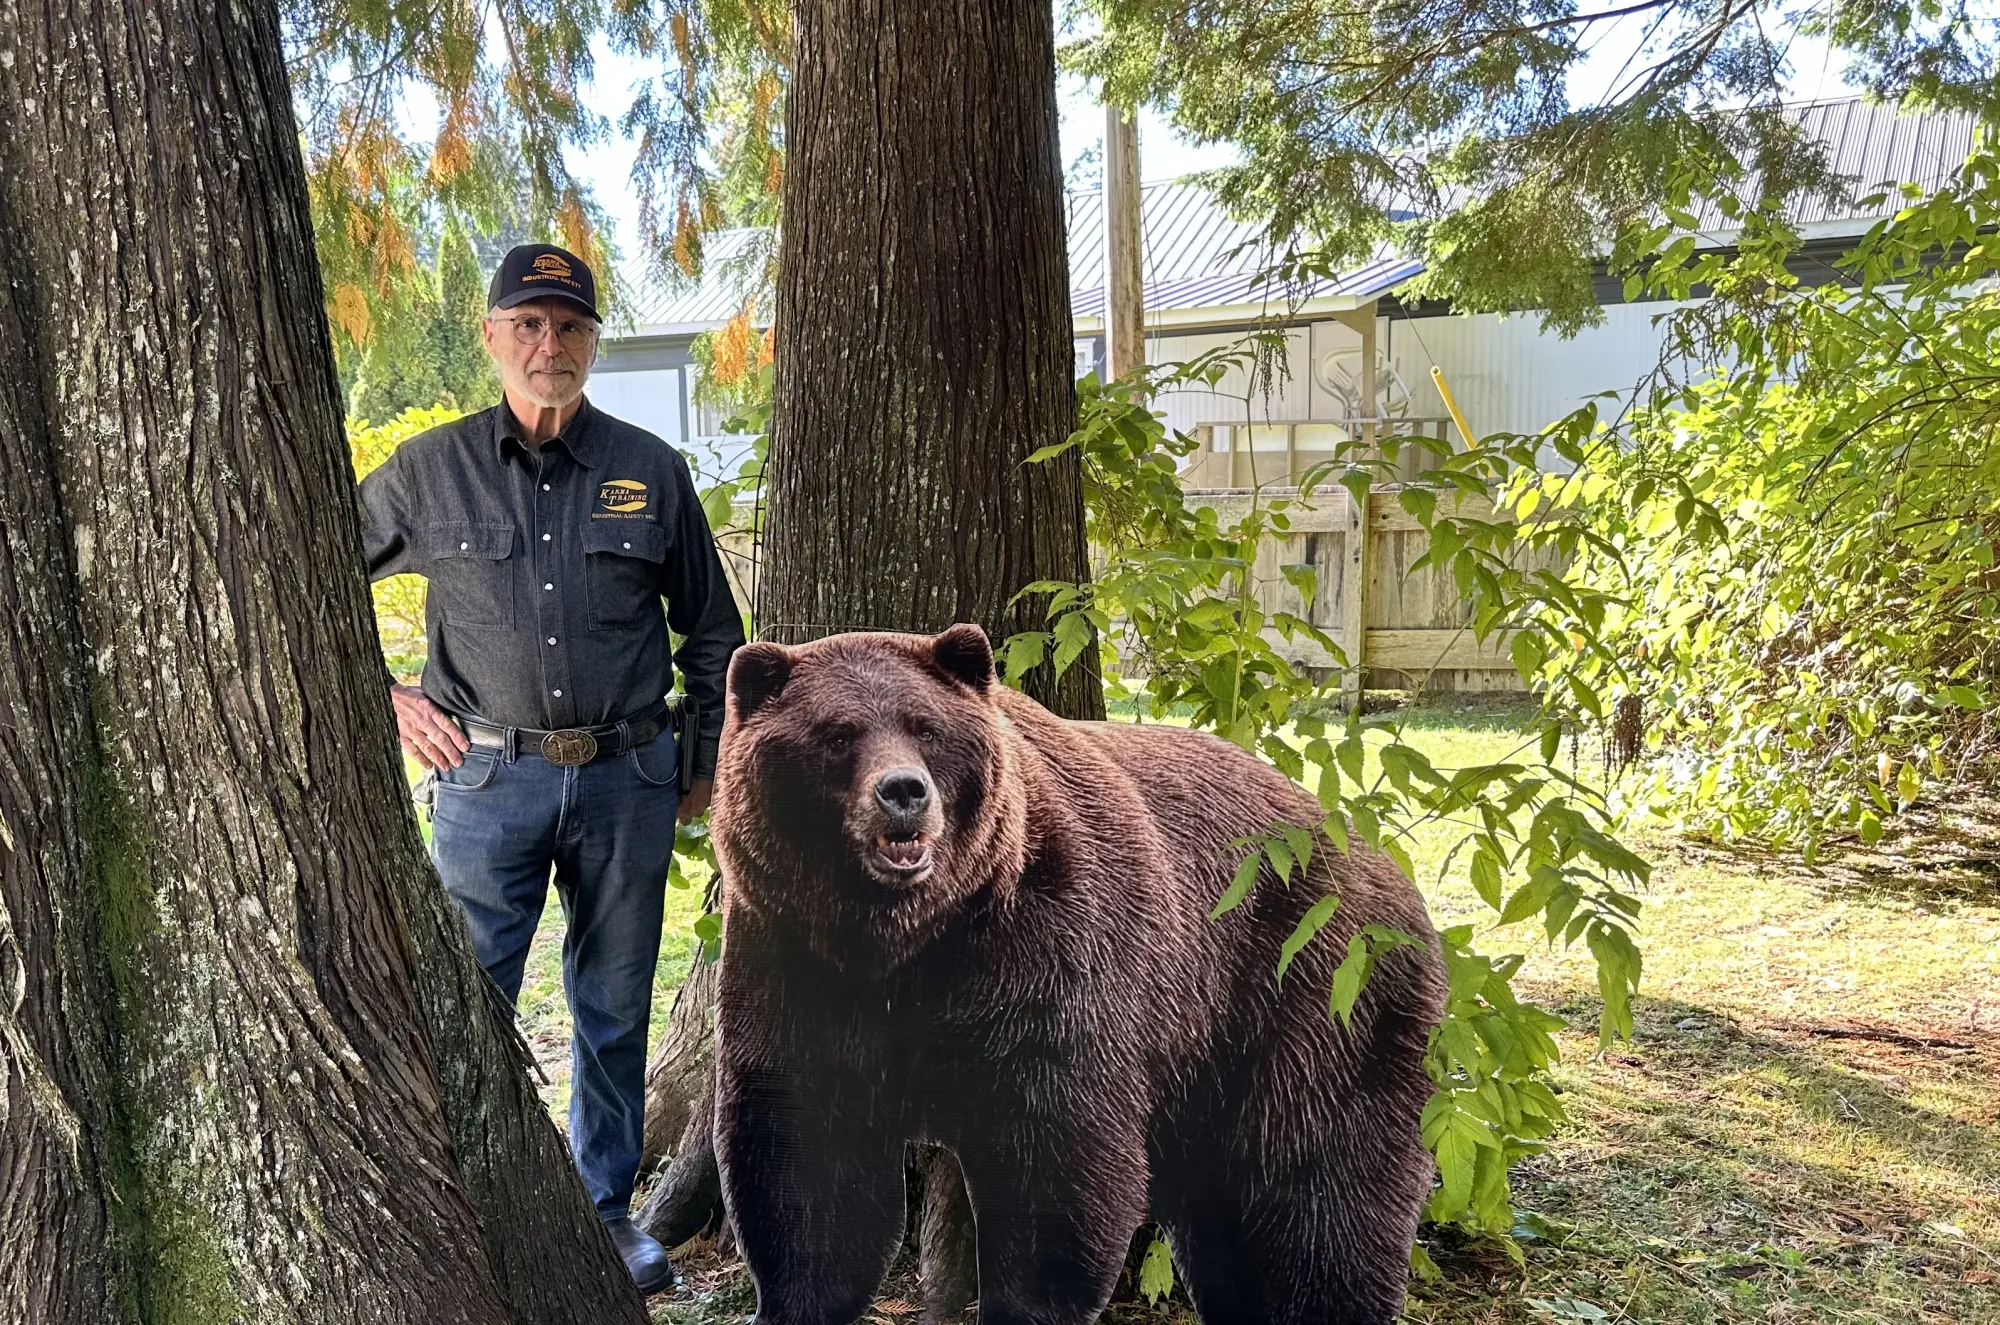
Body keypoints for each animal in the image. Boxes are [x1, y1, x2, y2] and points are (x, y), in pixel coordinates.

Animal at [710, 624, 1447, 1325]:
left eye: (926, 727)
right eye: (838, 734)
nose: (904, 792)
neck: (909, 942)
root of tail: (1387, 867)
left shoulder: (1047, 962)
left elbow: (1055, 1161)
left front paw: (1024, 1306)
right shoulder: (798, 966)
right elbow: (806, 1164)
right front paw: (788, 1301)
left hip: (1312, 996)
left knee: (1320, 1195)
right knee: (1228, 1227)